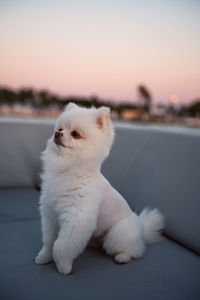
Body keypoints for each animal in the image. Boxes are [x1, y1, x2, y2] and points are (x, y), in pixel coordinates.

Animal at [34, 104, 164, 276]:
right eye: (60, 128)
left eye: (75, 134)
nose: (57, 133)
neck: (68, 170)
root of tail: (142, 230)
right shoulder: (50, 213)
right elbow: (49, 240)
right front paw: (44, 256)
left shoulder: (77, 219)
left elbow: (61, 246)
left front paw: (63, 266)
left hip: (117, 234)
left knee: (136, 251)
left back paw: (123, 256)